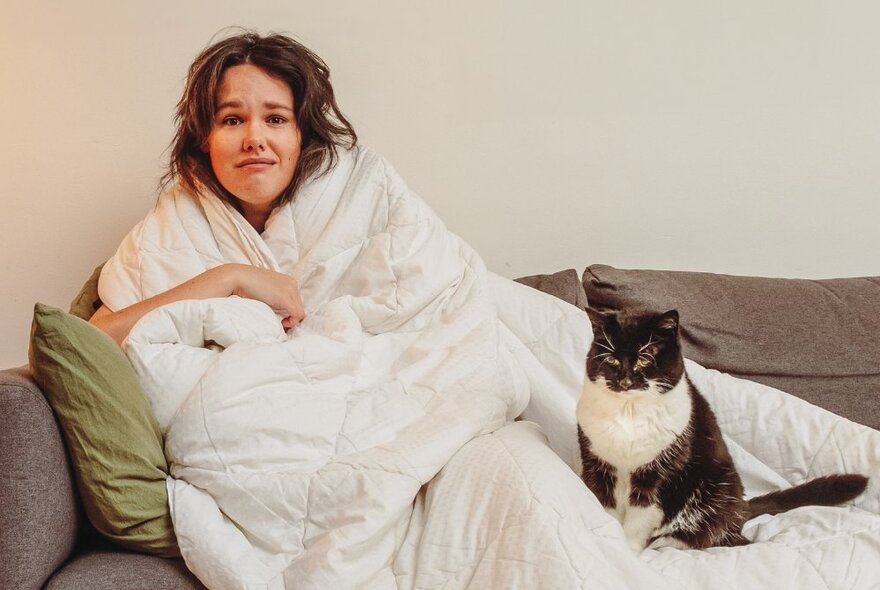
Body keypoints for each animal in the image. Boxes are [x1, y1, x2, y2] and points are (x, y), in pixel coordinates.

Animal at [576, 308, 868, 552]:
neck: (628, 413)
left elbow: (640, 519)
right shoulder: (596, 464)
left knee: (719, 535)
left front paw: (629, 552)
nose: (625, 381)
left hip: (714, 487)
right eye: (611, 360)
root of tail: (740, 505)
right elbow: (604, 506)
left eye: (645, 359)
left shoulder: (660, 474)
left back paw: (667, 541)